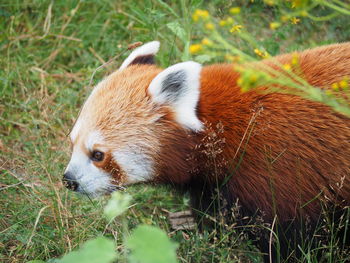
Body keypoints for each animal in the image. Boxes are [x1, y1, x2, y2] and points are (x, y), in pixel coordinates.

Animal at [63, 42, 350, 258]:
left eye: (98, 155)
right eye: (72, 142)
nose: (69, 181)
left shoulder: (282, 175)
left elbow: (292, 242)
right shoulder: (213, 184)